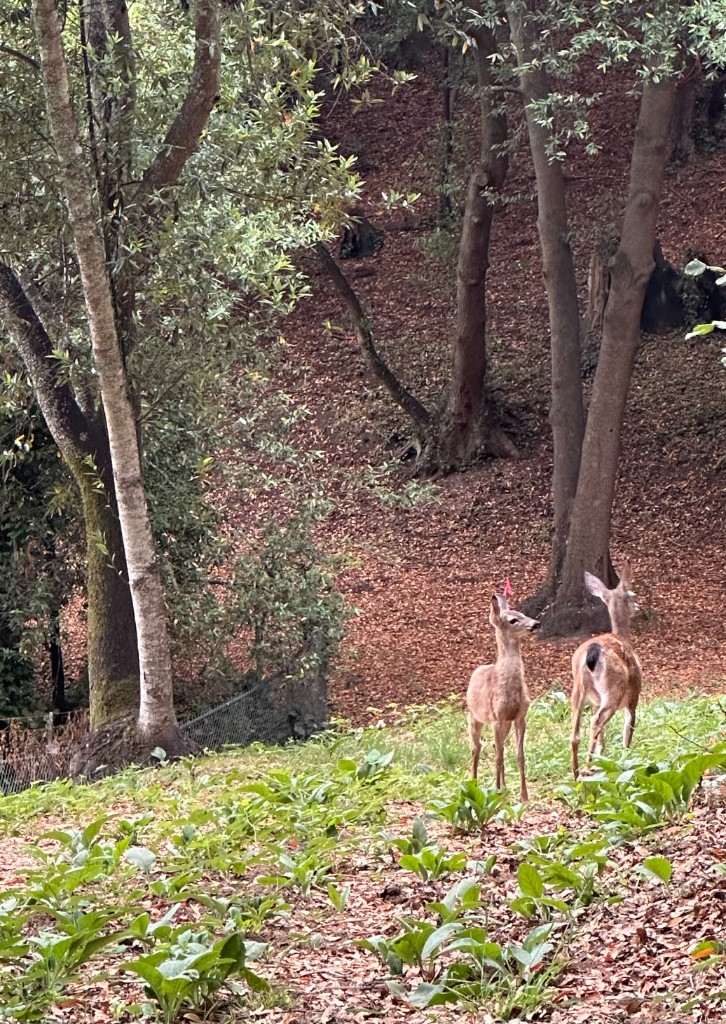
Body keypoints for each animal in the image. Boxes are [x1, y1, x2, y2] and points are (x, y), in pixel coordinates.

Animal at [466, 593, 540, 802]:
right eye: (513, 620)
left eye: (523, 613)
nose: (536, 623)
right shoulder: (496, 718)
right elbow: (498, 757)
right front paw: (496, 793)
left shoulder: (520, 717)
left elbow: (519, 755)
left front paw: (524, 796)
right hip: (474, 717)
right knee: (477, 748)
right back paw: (474, 784)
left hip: (504, 724)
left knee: (497, 747)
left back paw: (505, 787)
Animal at [570, 559, 642, 780]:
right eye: (632, 595)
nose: (639, 607)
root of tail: (591, 651)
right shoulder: (634, 696)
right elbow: (628, 728)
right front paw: (626, 759)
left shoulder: (595, 701)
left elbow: (602, 740)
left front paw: (602, 760)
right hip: (613, 690)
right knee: (595, 722)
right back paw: (586, 768)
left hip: (578, 688)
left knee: (576, 731)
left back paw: (576, 772)